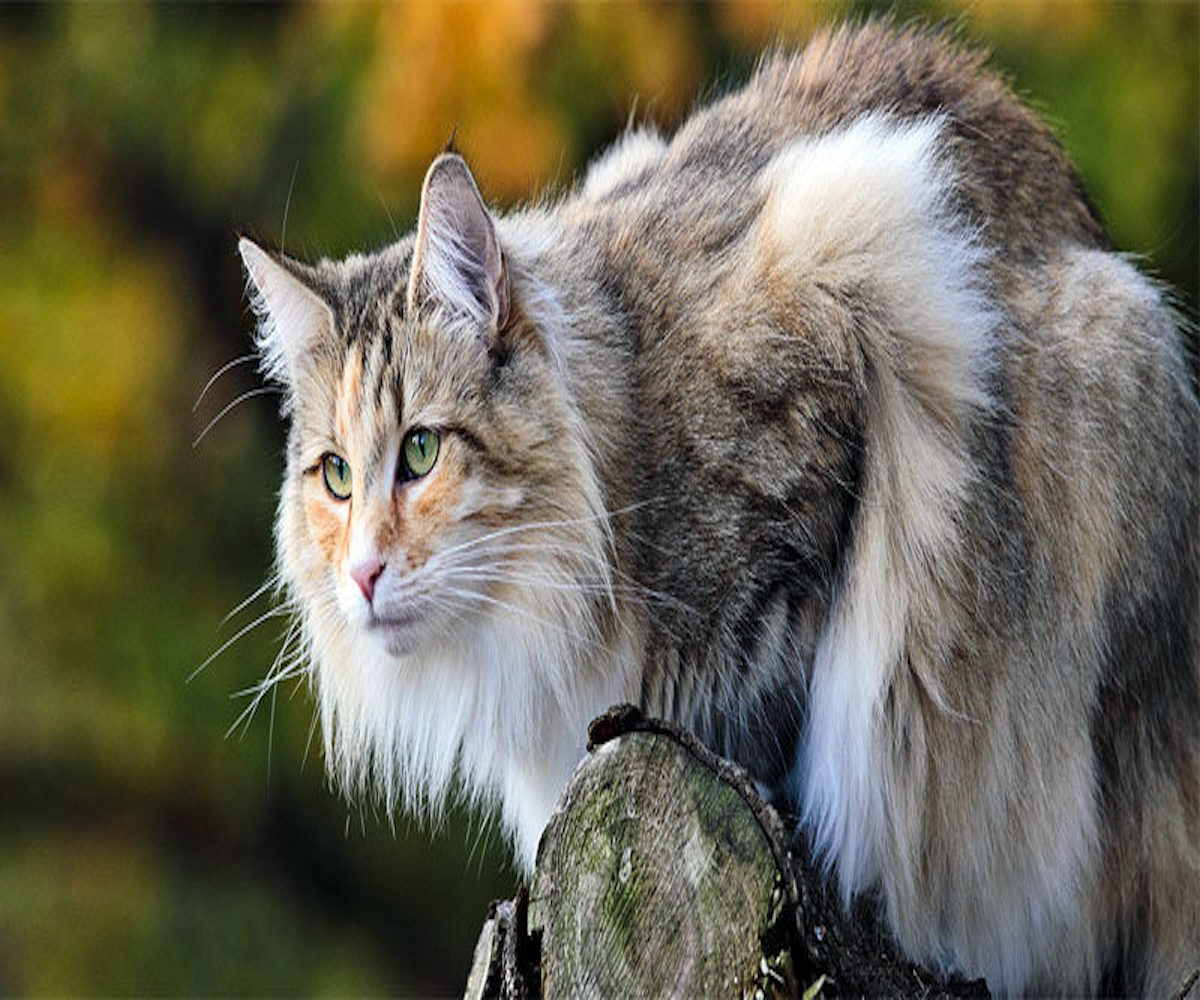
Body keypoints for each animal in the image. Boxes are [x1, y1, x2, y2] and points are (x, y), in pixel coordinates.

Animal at [236, 23, 1200, 998]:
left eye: (422, 453)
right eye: (336, 476)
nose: (362, 573)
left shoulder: (847, 324)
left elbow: (778, 692)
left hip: (1116, 350)